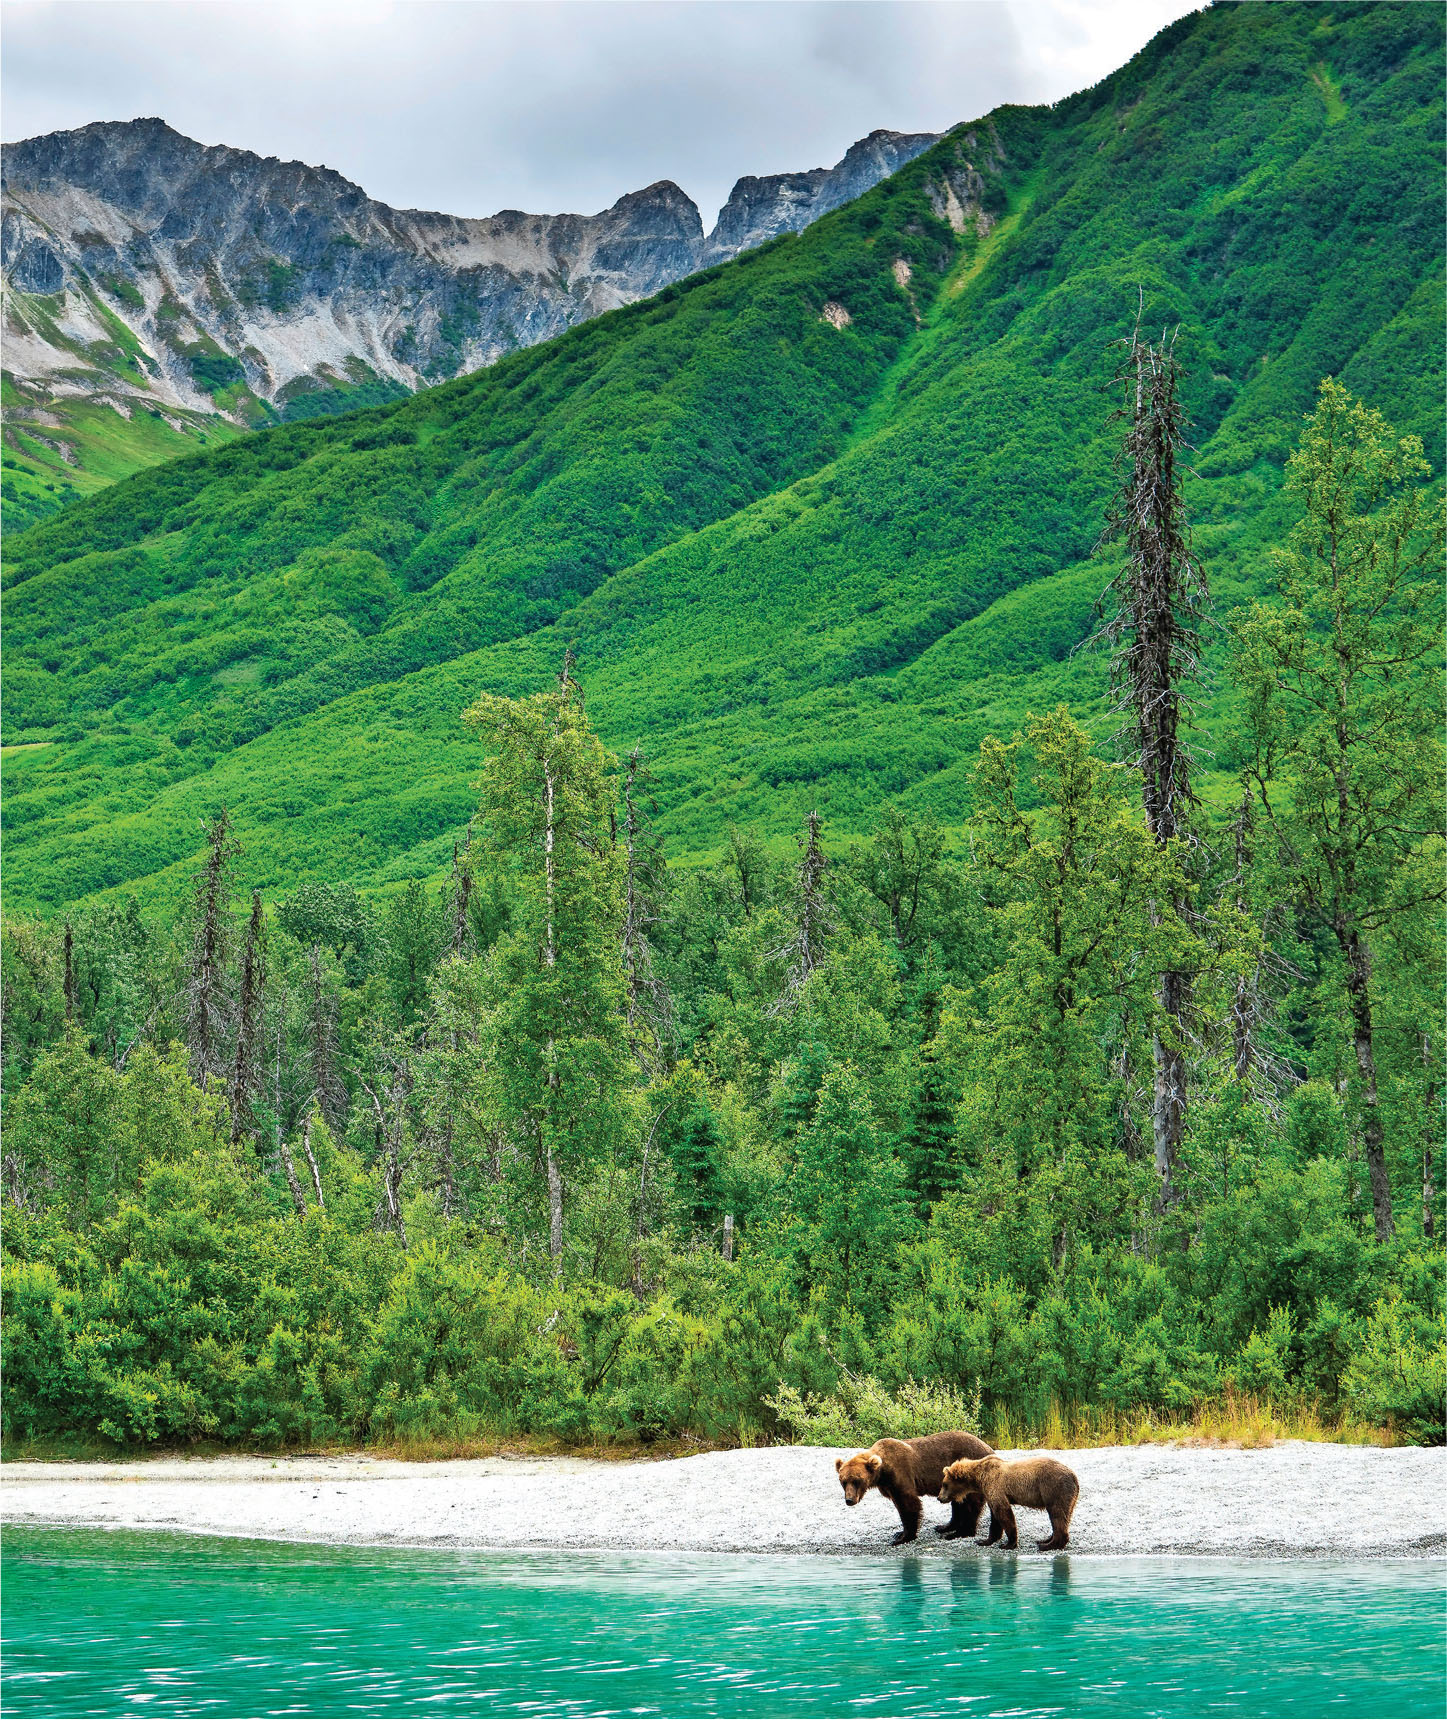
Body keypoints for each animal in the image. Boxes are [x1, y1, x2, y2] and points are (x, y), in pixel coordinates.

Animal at [836, 1424, 991, 1548]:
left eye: (857, 1480)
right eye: (843, 1481)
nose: (849, 1500)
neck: (882, 1472)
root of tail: (988, 1448)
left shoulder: (900, 1474)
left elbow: (909, 1504)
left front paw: (903, 1537)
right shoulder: (888, 1484)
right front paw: (899, 1533)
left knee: (971, 1502)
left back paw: (962, 1532)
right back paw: (945, 1527)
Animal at [929, 1458, 1080, 1554]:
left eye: (944, 1484)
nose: (939, 1498)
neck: (979, 1479)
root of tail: (1074, 1476)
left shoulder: (995, 1486)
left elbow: (1004, 1513)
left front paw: (1008, 1544)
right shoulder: (989, 1492)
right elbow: (995, 1517)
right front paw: (985, 1540)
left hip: (1054, 1488)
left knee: (1057, 1515)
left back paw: (1047, 1545)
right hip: (1069, 1497)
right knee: (1065, 1516)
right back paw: (1045, 1539)